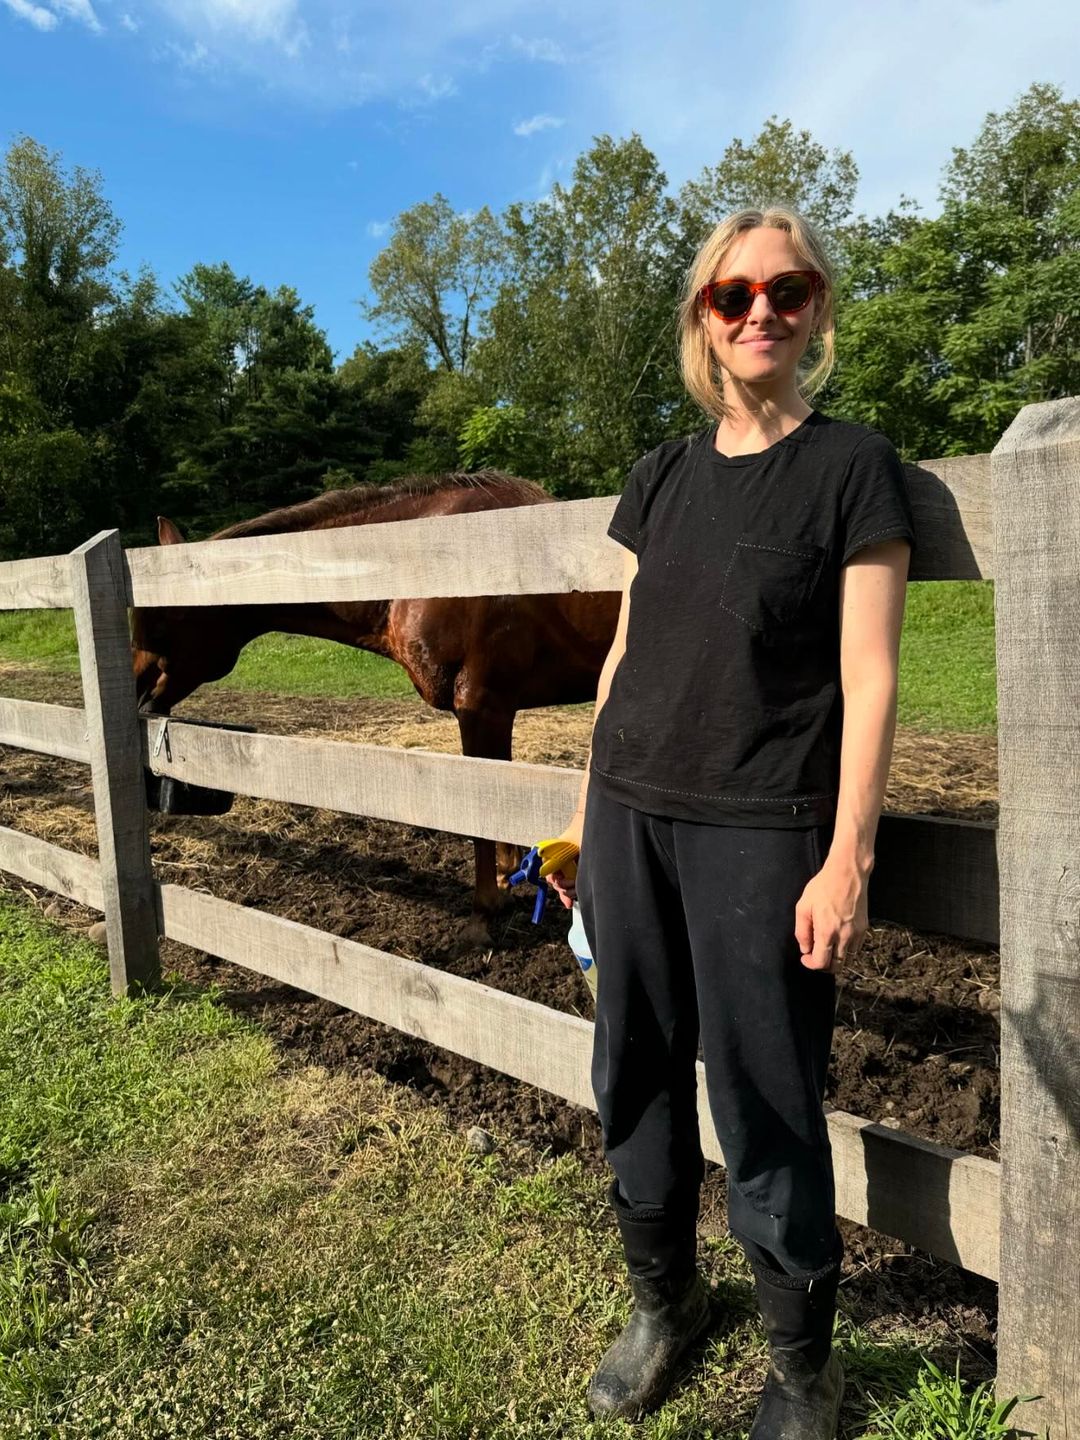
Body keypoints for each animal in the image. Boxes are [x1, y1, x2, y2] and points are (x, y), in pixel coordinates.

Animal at [128, 472, 616, 944]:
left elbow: (481, 815)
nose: (136, 691)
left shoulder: (481, 708)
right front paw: (505, 879)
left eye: (162, 622)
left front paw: (482, 915)